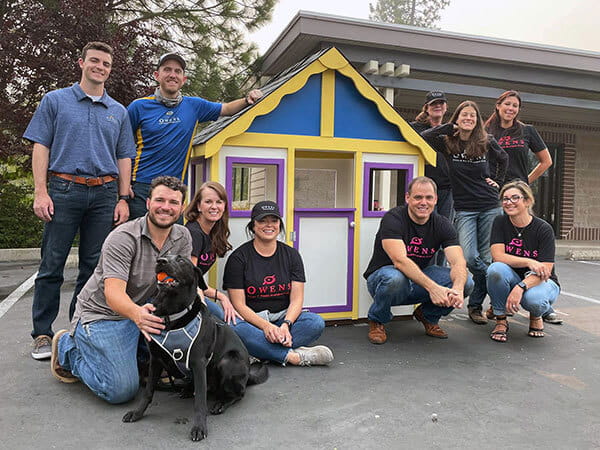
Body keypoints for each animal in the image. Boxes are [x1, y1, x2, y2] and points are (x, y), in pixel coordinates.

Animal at [123, 255, 268, 442]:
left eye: (181, 260)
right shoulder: (155, 360)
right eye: (164, 256)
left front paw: (199, 427)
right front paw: (137, 413)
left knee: (238, 394)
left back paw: (221, 403)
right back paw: (186, 389)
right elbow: (148, 392)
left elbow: (200, 401)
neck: (171, 315)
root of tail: (248, 374)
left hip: (228, 362)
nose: (160, 261)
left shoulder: (198, 364)